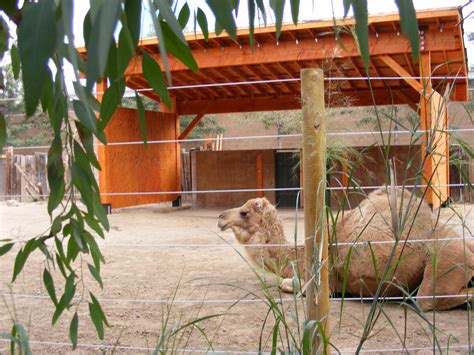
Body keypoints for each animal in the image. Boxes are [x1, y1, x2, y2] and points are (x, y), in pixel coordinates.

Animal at [218, 189, 474, 312]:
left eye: (244, 212)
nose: (221, 217)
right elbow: (284, 283)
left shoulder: (323, 281)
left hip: (443, 263)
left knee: (427, 300)